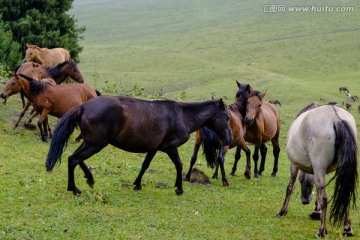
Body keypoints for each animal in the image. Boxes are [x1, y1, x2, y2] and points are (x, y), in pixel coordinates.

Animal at [45, 95, 233, 195]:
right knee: (73, 159)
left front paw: (137, 184)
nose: (230, 140)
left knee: (76, 158)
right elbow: (179, 165)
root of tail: (83, 106)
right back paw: (74, 188)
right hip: (95, 144)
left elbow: (145, 165)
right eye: (227, 118)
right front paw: (179, 188)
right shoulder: (170, 147)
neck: (182, 116)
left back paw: (89, 178)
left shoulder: (154, 148)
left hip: (90, 142)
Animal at [276, 103, 358, 238]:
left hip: (319, 167)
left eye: (301, 180)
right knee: (345, 194)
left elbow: (290, 187)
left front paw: (282, 211)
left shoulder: (294, 165)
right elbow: (317, 194)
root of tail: (337, 118)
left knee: (324, 198)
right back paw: (347, 228)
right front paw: (316, 212)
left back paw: (322, 231)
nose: (304, 201)